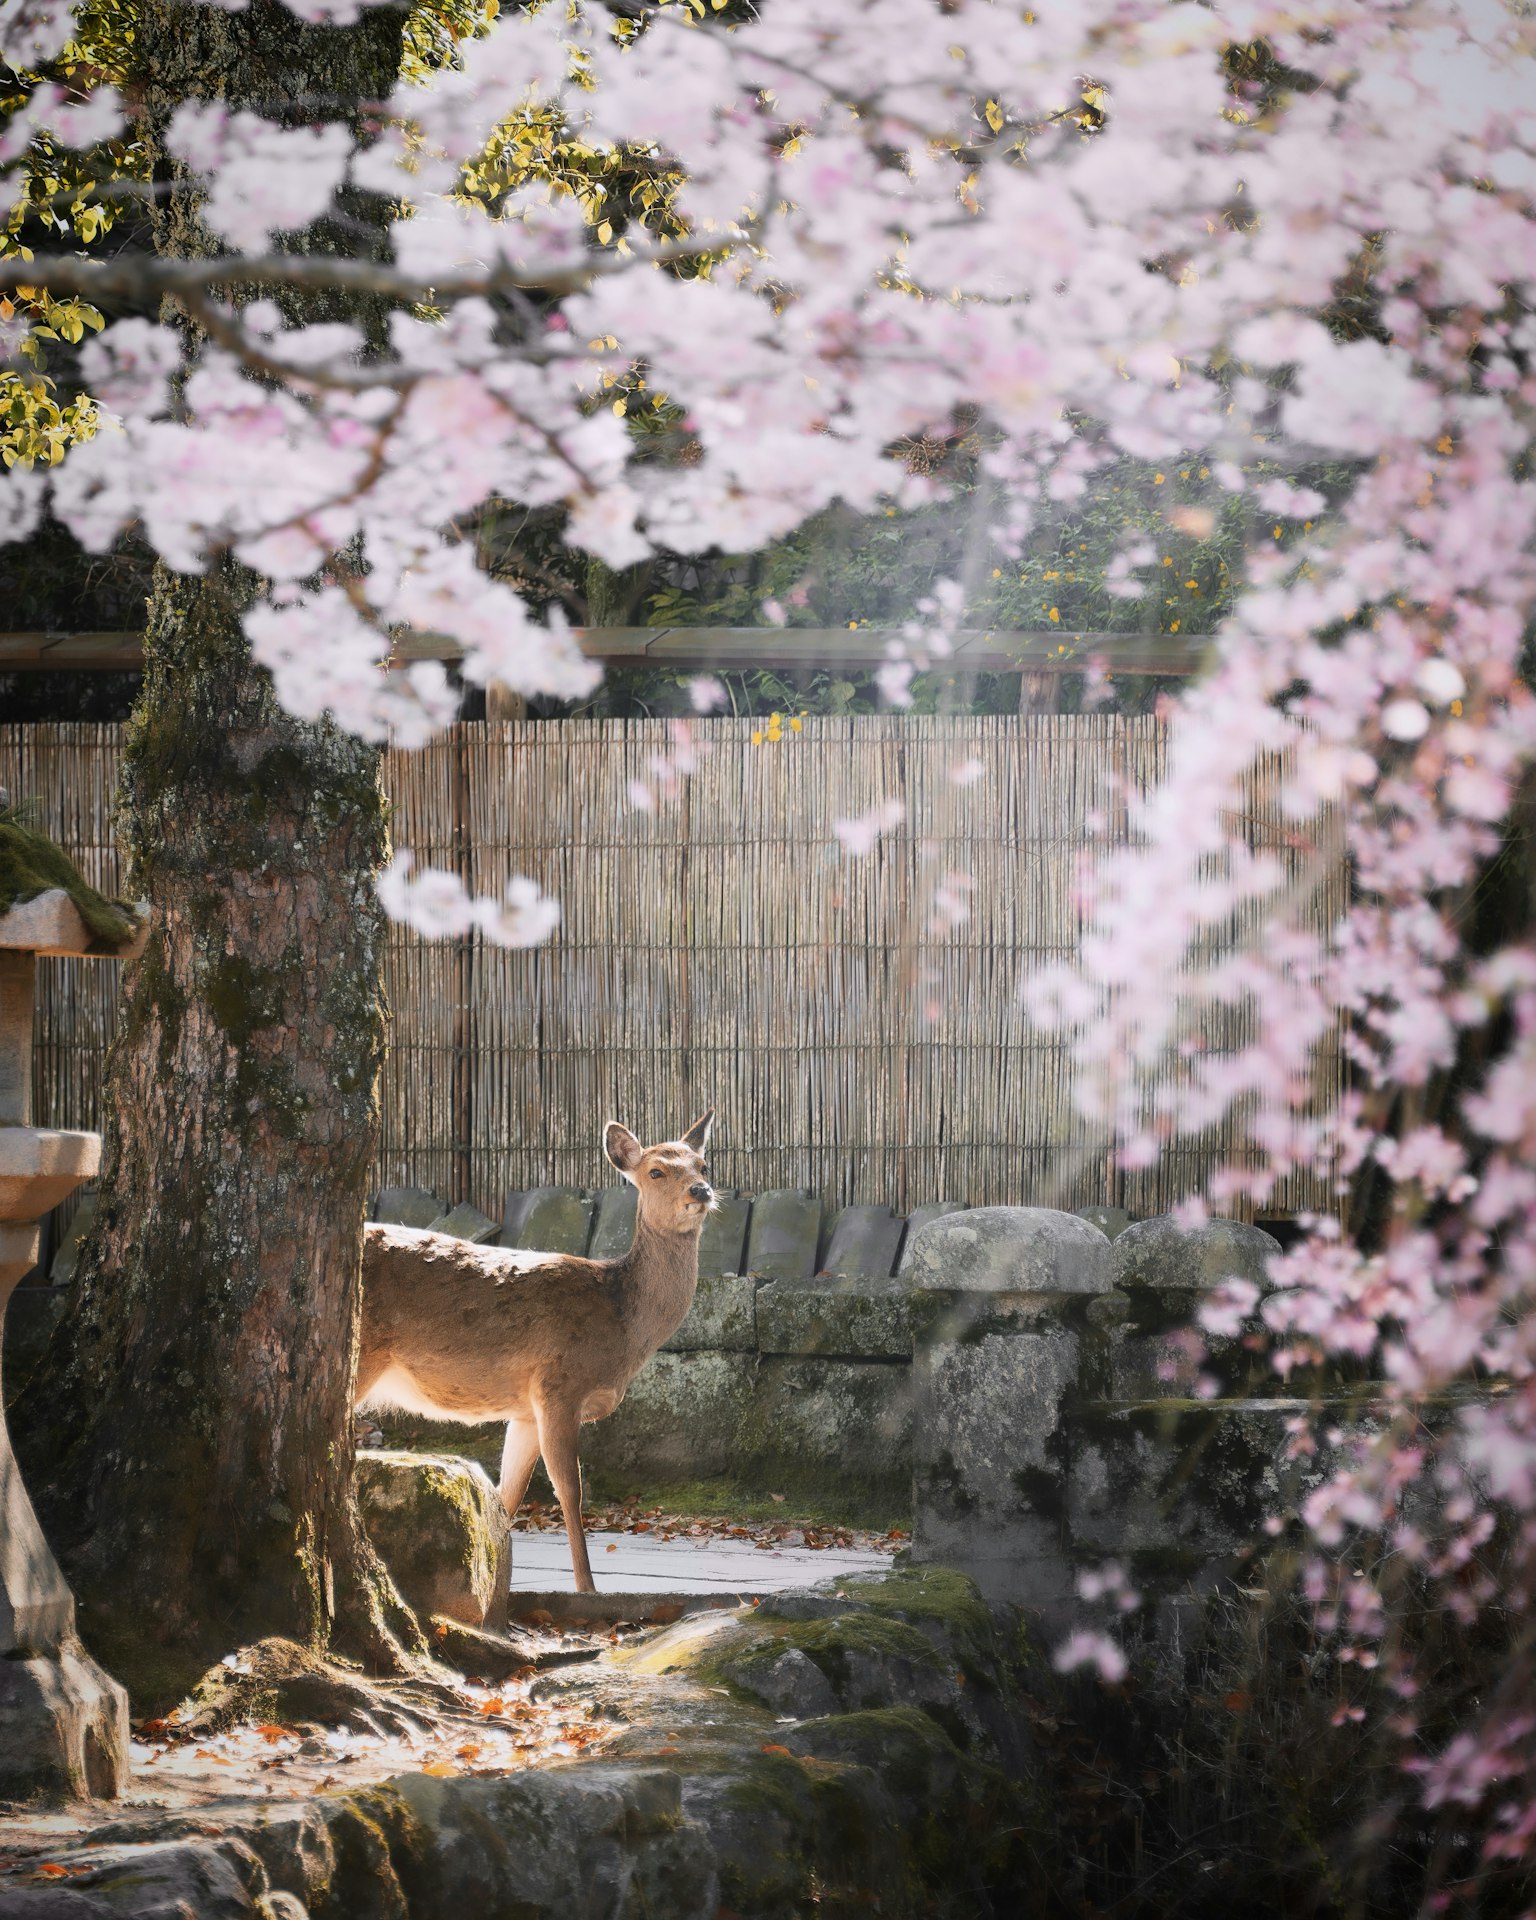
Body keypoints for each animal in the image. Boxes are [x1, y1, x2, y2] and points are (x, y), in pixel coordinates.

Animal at [355, 1110, 715, 1594]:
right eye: (656, 1171)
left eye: (703, 1165)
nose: (701, 1191)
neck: (622, 1329)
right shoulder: (558, 1385)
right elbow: (570, 1490)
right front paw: (587, 1589)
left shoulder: (525, 1410)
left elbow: (506, 1497)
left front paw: (493, 1583)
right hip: (360, 1357)